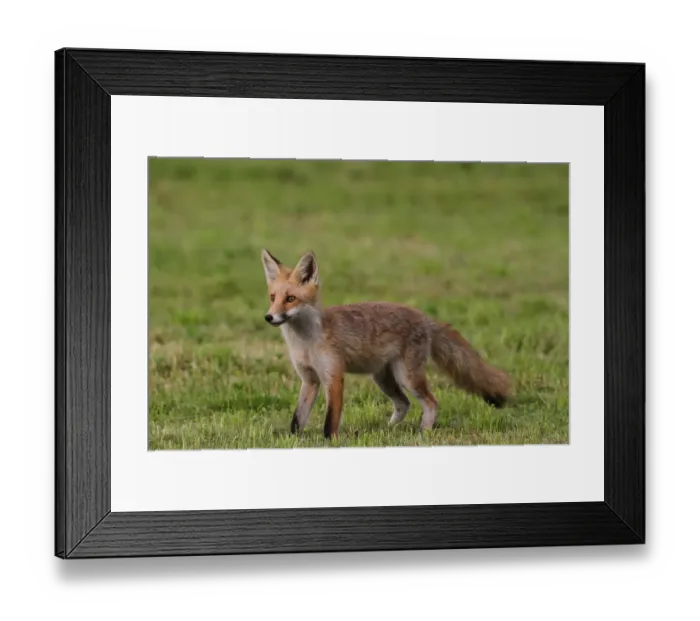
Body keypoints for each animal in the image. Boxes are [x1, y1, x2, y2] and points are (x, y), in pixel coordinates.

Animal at [261, 249, 511, 440]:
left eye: (291, 299)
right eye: (273, 298)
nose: (269, 317)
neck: (306, 342)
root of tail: (425, 317)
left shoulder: (333, 377)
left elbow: (330, 421)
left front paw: (330, 442)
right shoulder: (309, 380)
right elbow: (297, 418)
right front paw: (292, 440)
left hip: (407, 377)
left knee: (431, 402)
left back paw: (424, 432)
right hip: (383, 378)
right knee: (403, 404)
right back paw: (389, 429)